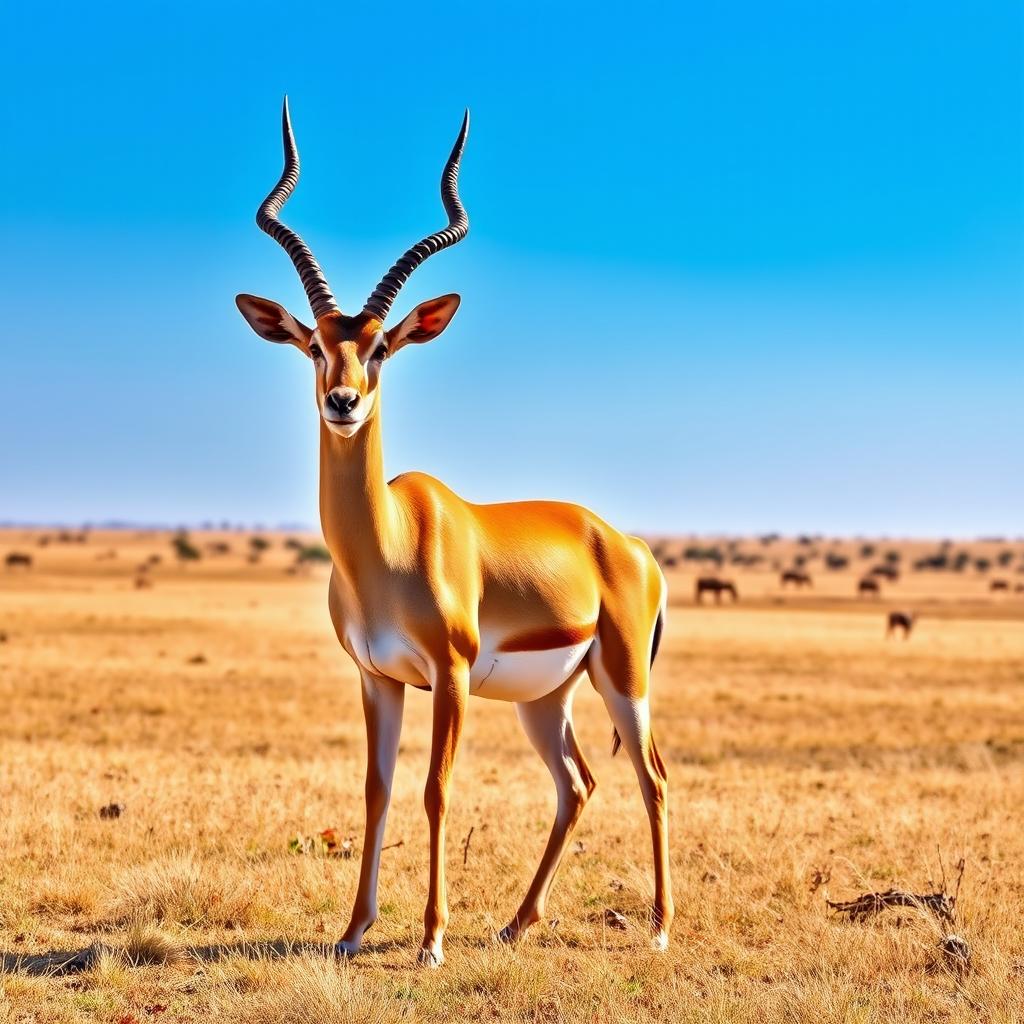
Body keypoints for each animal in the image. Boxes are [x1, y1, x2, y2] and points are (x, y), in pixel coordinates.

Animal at [235, 101, 672, 967]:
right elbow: (377, 791)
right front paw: (352, 931)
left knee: (653, 779)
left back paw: (661, 929)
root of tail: (628, 545)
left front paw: (430, 939)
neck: (390, 547)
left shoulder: (452, 674)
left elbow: (436, 790)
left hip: (622, 679)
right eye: (314, 345)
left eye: (380, 348)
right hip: (548, 699)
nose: (342, 402)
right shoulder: (377, 678)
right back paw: (516, 922)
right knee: (578, 785)